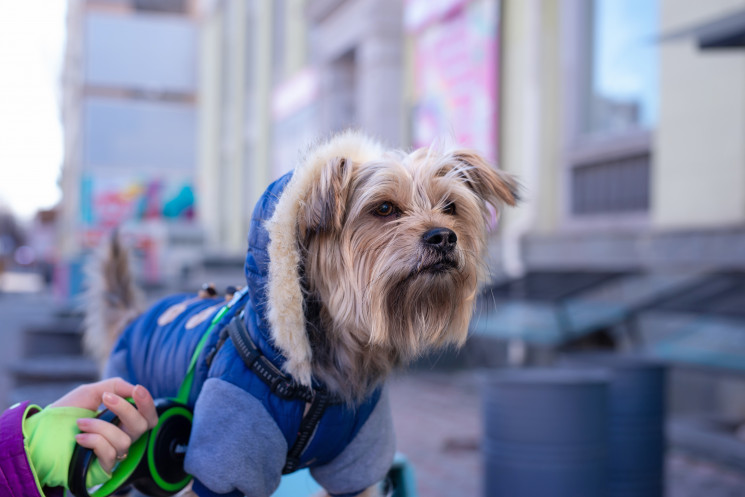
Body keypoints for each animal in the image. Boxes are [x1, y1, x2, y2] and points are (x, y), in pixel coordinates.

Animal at [84, 130, 516, 494]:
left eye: (451, 207)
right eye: (384, 208)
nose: (443, 236)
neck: (320, 379)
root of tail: (134, 317)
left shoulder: (359, 462)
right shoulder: (225, 460)